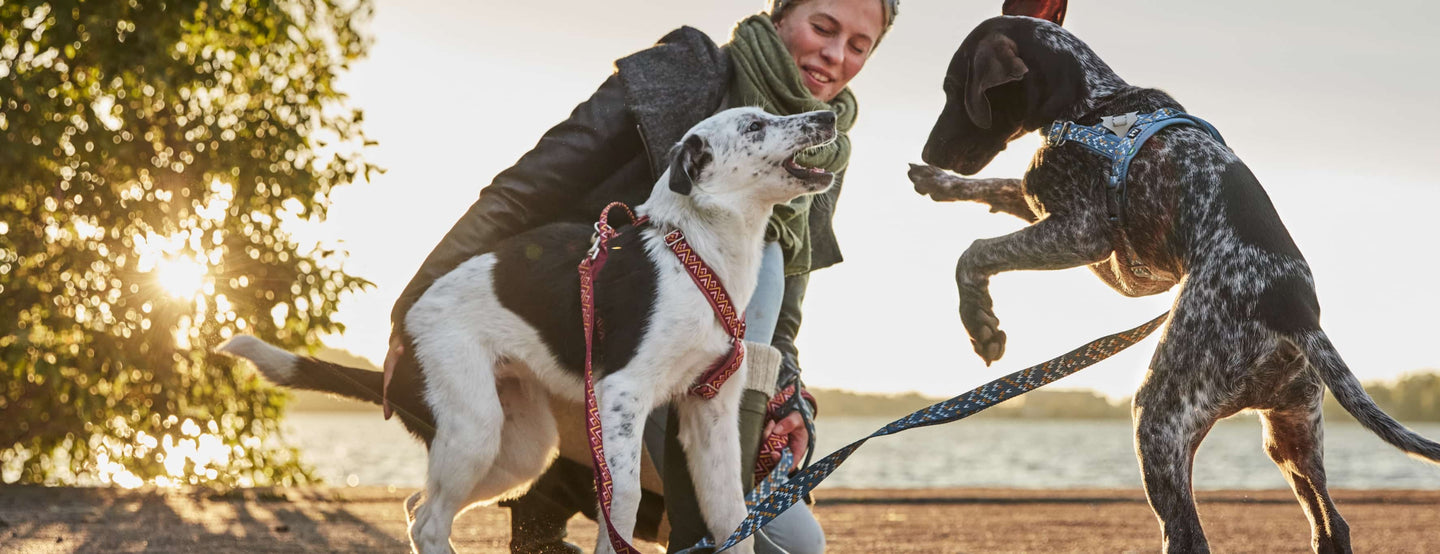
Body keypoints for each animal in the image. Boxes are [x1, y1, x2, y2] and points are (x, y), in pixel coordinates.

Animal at [218, 105, 840, 549]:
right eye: (755, 125)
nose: (829, 114)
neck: (696, 254)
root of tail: (404, 331)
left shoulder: (710, 409)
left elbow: (732, 516)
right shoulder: (622, 395)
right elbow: (621, 504)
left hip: (519, 448)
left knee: (419, 508)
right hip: (474, 428)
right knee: (428, 522)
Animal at [910, 15, 1440, 549]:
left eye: (956, 88)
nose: (931, 150)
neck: (1090, 102)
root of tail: (1295, 312)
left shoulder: (1086, 237)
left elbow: (975, 252)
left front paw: (979, 321)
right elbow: (1001, 189)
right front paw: (941, 183)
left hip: (1160, 417)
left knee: (1187, 533)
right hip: (1291, 435)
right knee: (1331, 526)